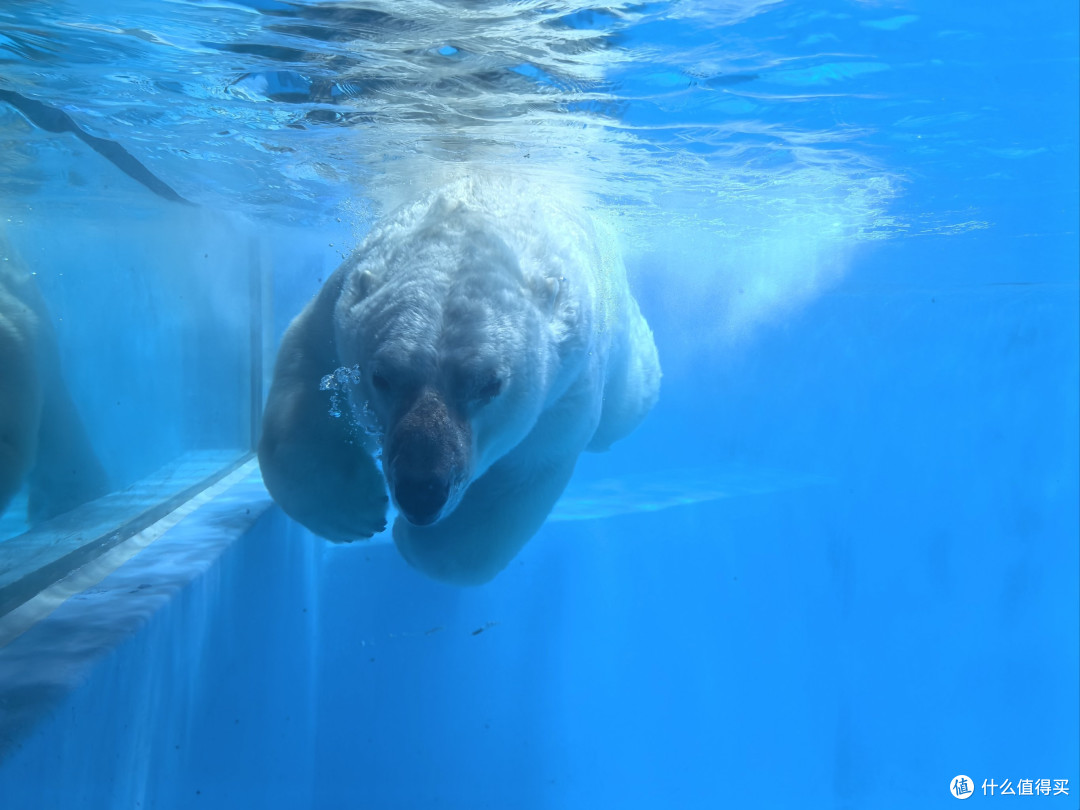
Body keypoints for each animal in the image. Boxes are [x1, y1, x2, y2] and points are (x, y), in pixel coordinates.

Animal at [258, 175, 660, 584]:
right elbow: (307, 376)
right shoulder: (337, 308)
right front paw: (353, 510)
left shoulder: (567, 385)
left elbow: (524, 472)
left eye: (490, 385)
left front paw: (413, 542)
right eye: (381, 378)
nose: (421, 492)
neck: (469, 224)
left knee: (628, 401)